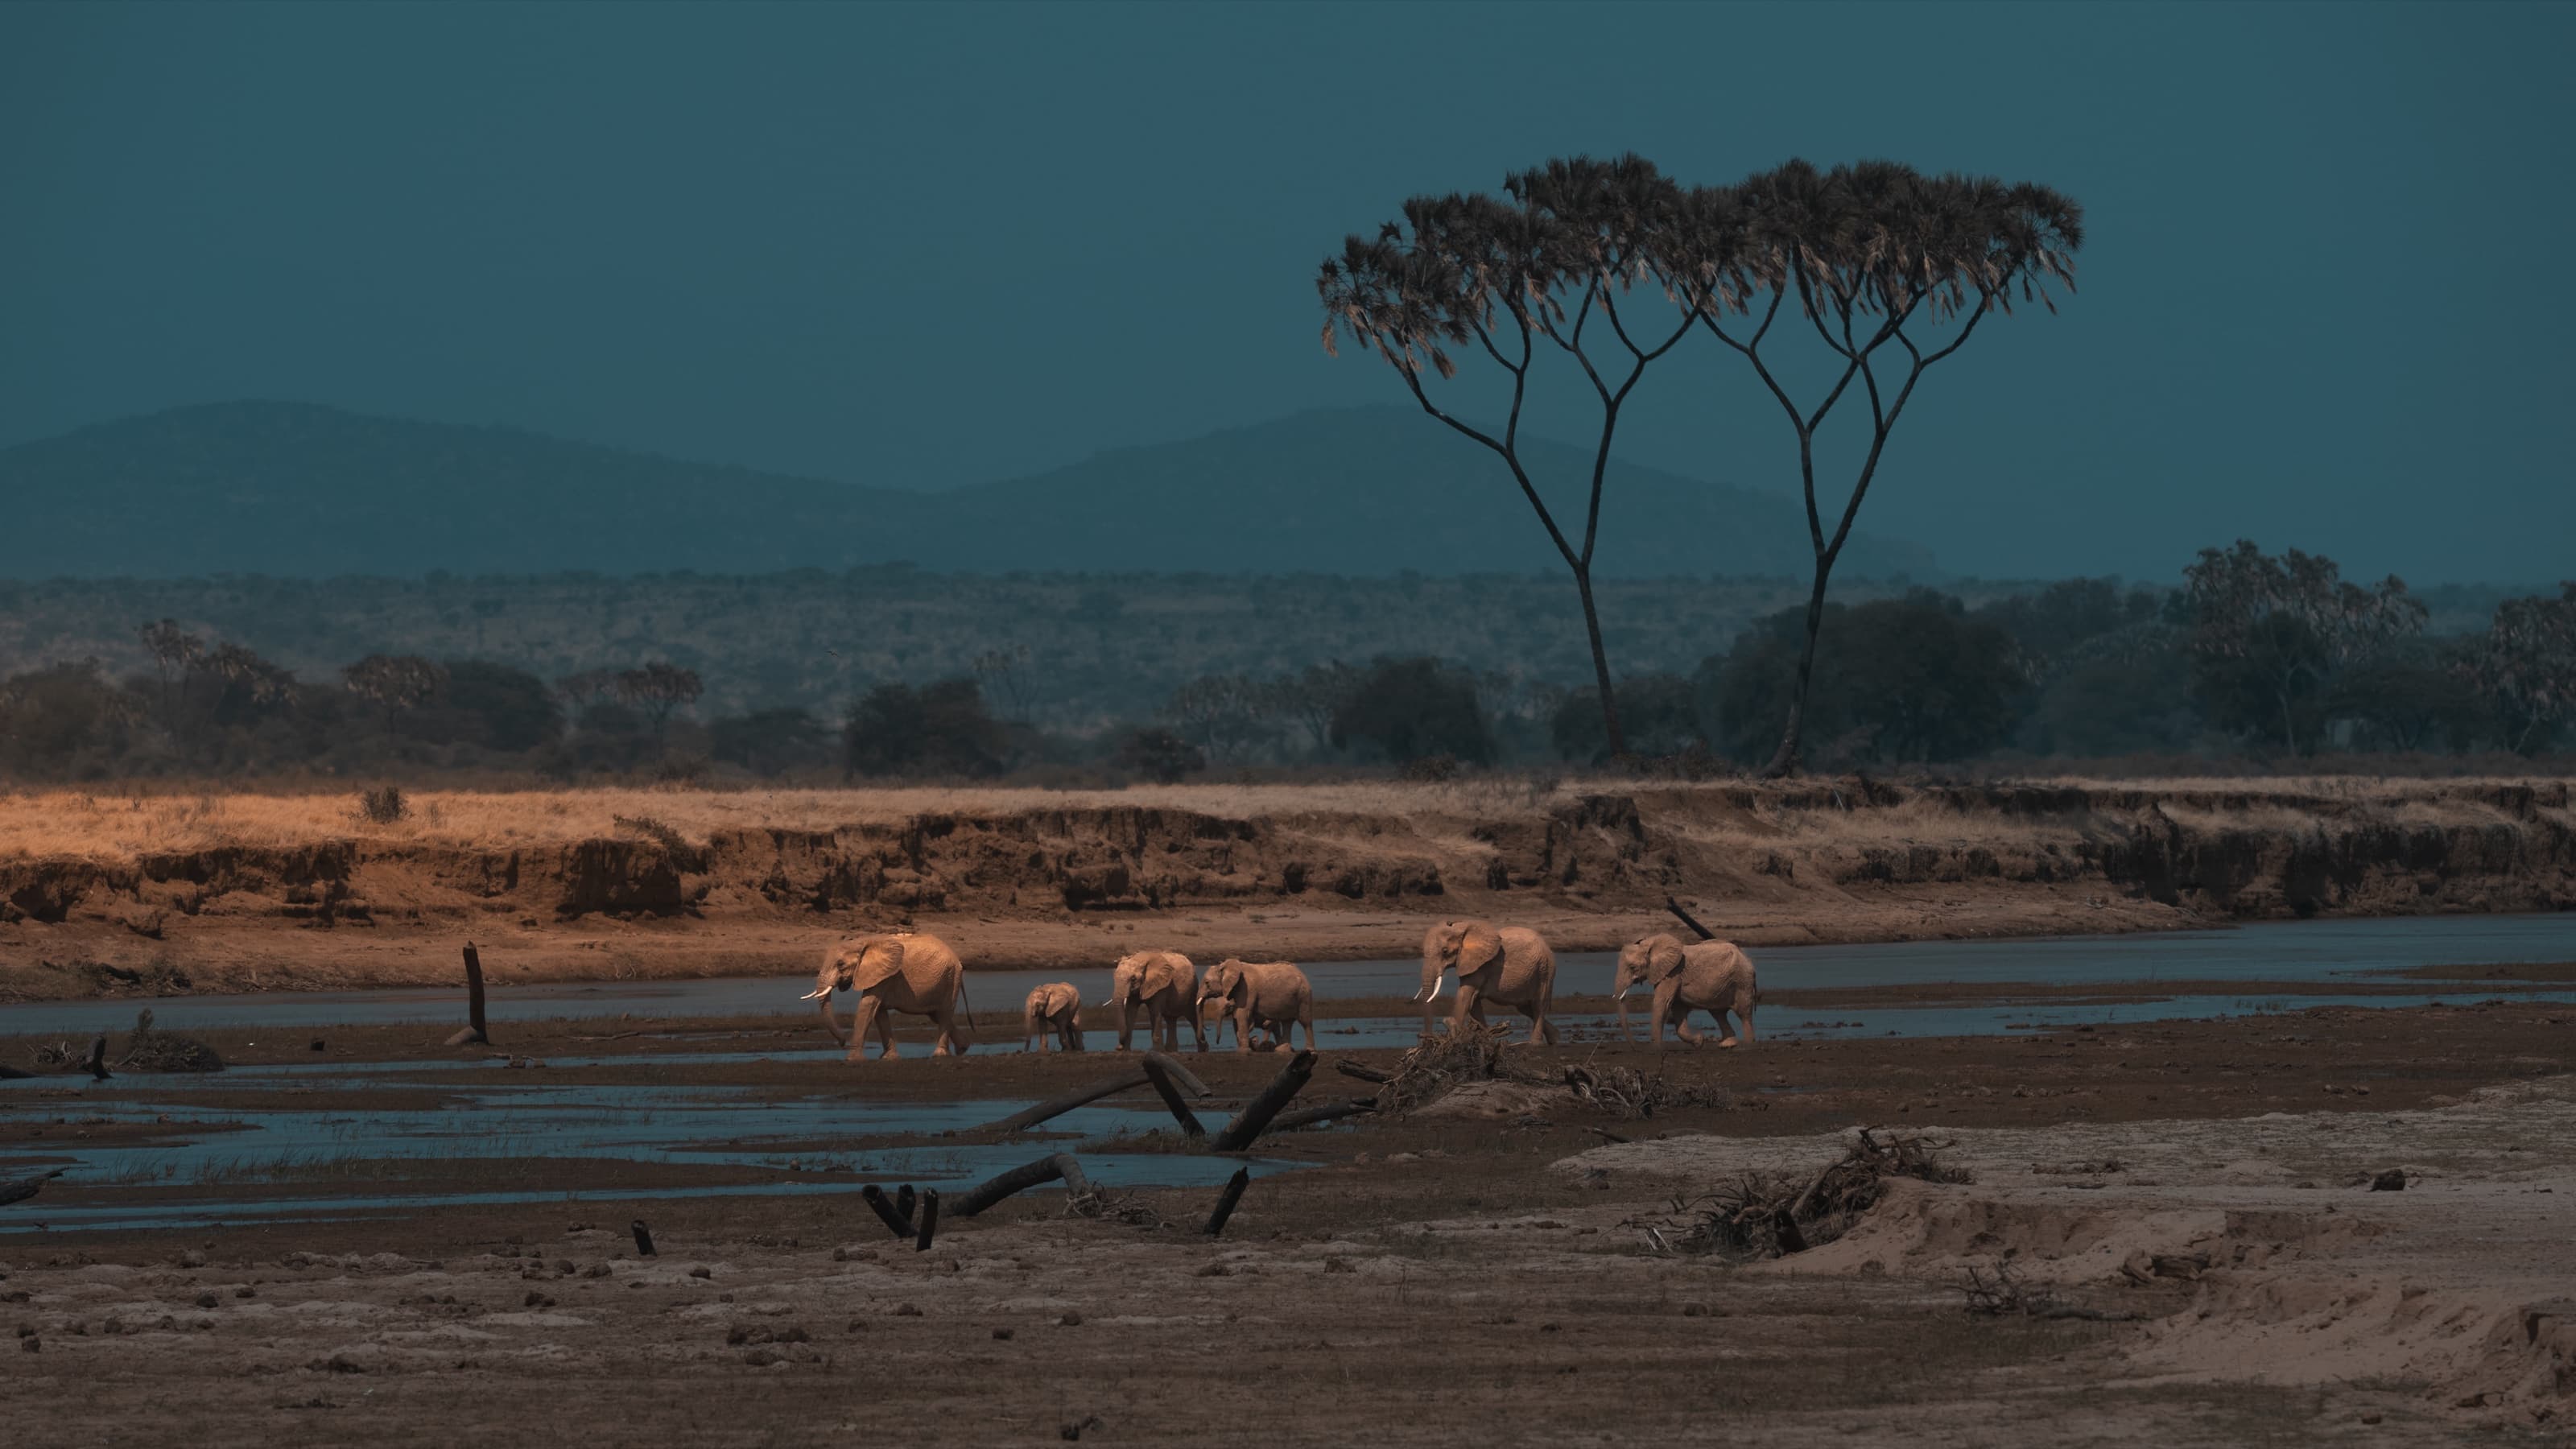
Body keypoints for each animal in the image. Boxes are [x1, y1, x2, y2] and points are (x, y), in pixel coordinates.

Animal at [802, 931, 973, 1063]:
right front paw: (888, 1058)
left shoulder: (885, 974)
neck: (862, 942)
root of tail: (957, 959)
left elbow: (867, 1005)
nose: (842, 1042)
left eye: (840, 964)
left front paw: (852, 1060)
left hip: (950, 977)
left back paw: (940, 1055)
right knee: (936, 1015)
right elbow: (879, 1011)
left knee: (944, 1013)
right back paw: (963, 1048)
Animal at [1104, 950, 1206, 1053]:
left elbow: (1154, 1012)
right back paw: (1171, 1051)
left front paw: (1157, 1051)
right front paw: (1125, 1051)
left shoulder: (1161, 985)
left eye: (1133, 979)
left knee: (1192, 1017)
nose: (1118, 1047)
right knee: (1171, 1019)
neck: (1139, 960)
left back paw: (1203, 1050)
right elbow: (1130, 1011)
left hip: (1192, 991)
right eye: (1114, 977)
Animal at [1196, 958, 1315, 1053]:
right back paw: (1282, 1050)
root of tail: (1301, 972)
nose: (1207, 1029)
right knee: (1287, 1022)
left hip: (1304, 995)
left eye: (1207, 983)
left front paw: (1243, 1051)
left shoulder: (1246, 988)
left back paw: (1309, 1051)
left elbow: (1242, 1013)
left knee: (1305, 1021)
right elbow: (1238, 1017)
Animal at [1416, 919, 1558, 1043]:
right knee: (1525, 1008)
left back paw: (1535, 1043)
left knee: (1539, 1006)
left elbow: (1464, 996)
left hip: (1545, 970)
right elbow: (1473, 1003)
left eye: (1445, 951)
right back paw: (1555, 1038)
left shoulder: (1480, 965)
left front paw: (1454, 1038)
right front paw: (1486, 1037)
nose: (1424, 1036)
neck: (1461, 927)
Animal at [1613, 932, 1757, 1048]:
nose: (1636, 1047)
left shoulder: (1673, 973)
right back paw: (1727, 1045)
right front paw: (1699, 1042)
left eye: (1632, 968)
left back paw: (1747, 1046)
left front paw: (1656, 1049)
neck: (1651, 944)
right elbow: (1678, 1008)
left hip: (1742, 981)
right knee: (1718, 1013)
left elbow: (1663, 1003)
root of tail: (1748, 959)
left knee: (1743, 1013)